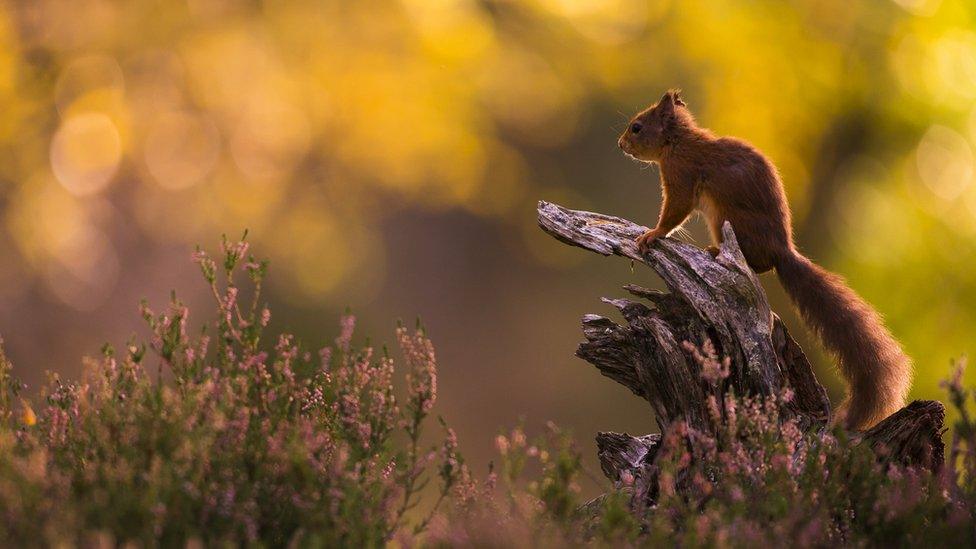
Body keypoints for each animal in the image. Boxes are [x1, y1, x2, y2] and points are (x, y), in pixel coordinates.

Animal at [620, 90, 912, 430]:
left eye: (637, 127)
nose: (620, 144)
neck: (677, 142)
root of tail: (781, 250)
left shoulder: (682, 175)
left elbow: (674, 212)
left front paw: (652, 234)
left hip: (727, 218)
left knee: (758, 263)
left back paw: (715, 252)